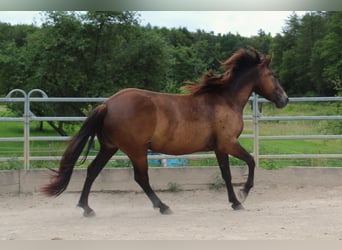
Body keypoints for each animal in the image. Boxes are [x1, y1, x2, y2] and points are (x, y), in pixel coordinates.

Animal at [42, 47, 288, 216]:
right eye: (274, 75)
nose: (285, 99)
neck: (224, 100)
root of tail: (108, 104)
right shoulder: (229, 143)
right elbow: (251, 161)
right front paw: (244, 194)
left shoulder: (220, 147)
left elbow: (226, 174)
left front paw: (235, 202)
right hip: (137, 151)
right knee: (141, 178)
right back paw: (163, 206)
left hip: (109, 147)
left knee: (92, 171)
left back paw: (86, 208)